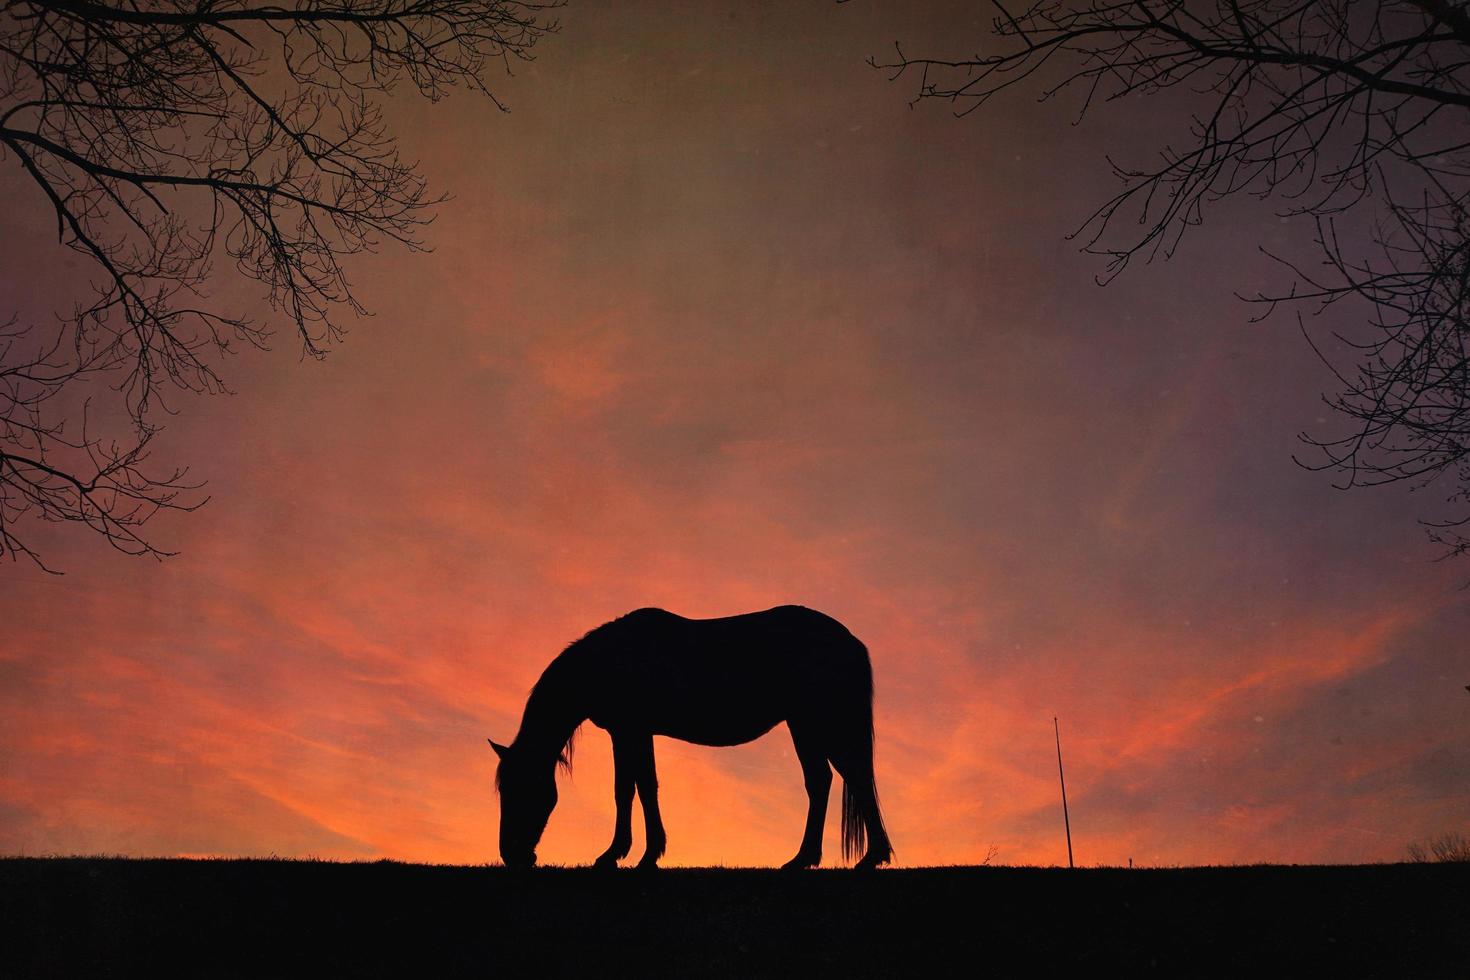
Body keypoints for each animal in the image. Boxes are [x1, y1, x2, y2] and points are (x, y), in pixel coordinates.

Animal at [488, 605, 887, 875]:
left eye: (523, 789)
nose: (512, 856)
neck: (609, 661)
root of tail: (849, 640)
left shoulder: (629, 729)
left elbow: (633, 788)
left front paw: (626, 855)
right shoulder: (633, 732)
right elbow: (638, 787)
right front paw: (636, 854)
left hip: (816, 721)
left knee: (848, 778)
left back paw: (862, 858)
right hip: (806, 725)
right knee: (829, 780)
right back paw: (812, 858)